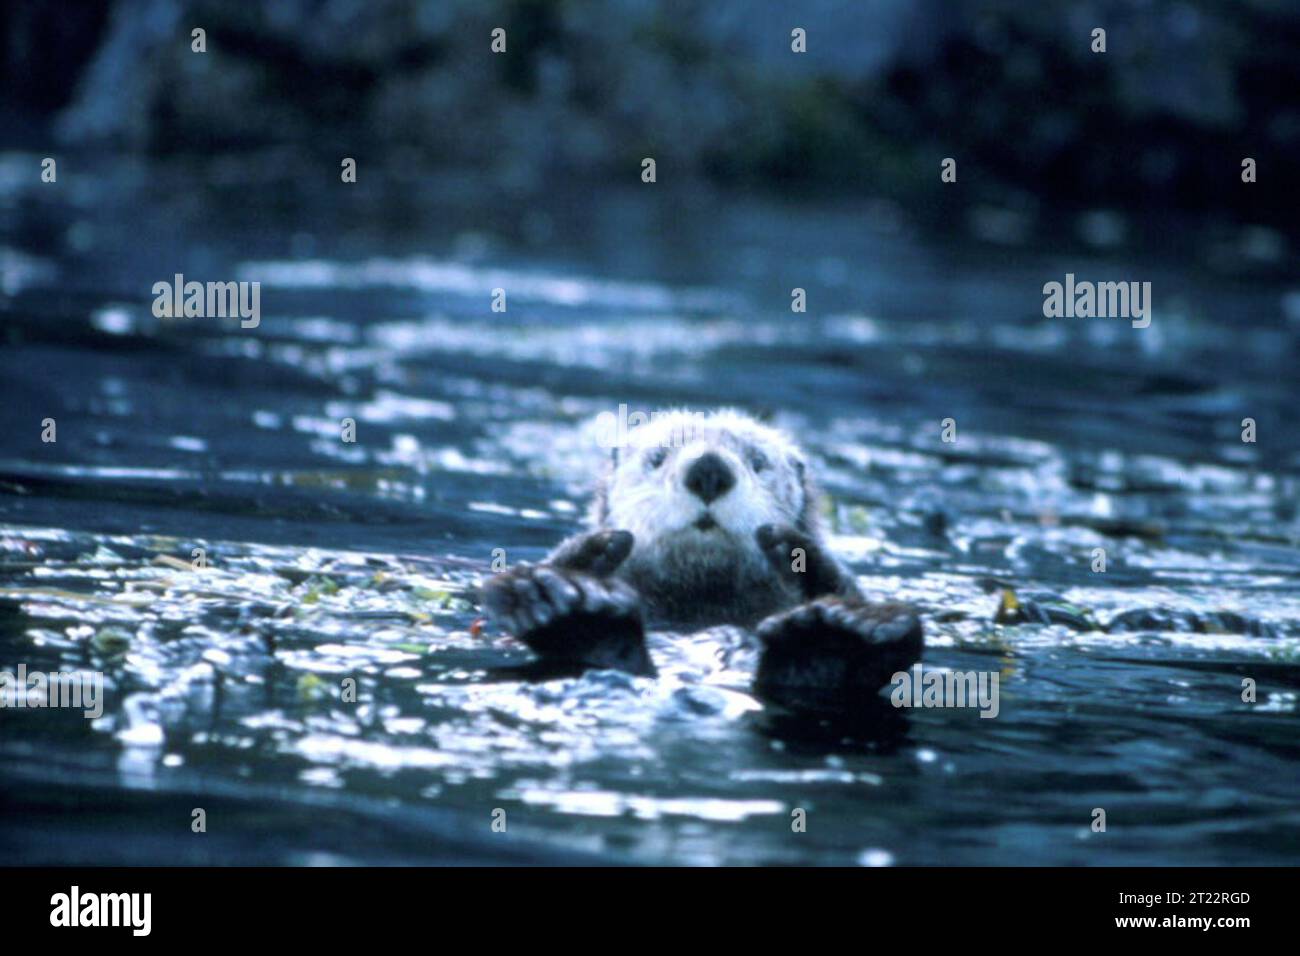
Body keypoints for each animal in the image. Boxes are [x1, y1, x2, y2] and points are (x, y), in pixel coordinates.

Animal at [482, 409, 923, 712]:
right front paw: (598, 549)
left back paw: (836, 635)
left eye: (758, 462)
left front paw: (797, 549)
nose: (709, 469)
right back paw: (562, 603)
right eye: (657, 458)